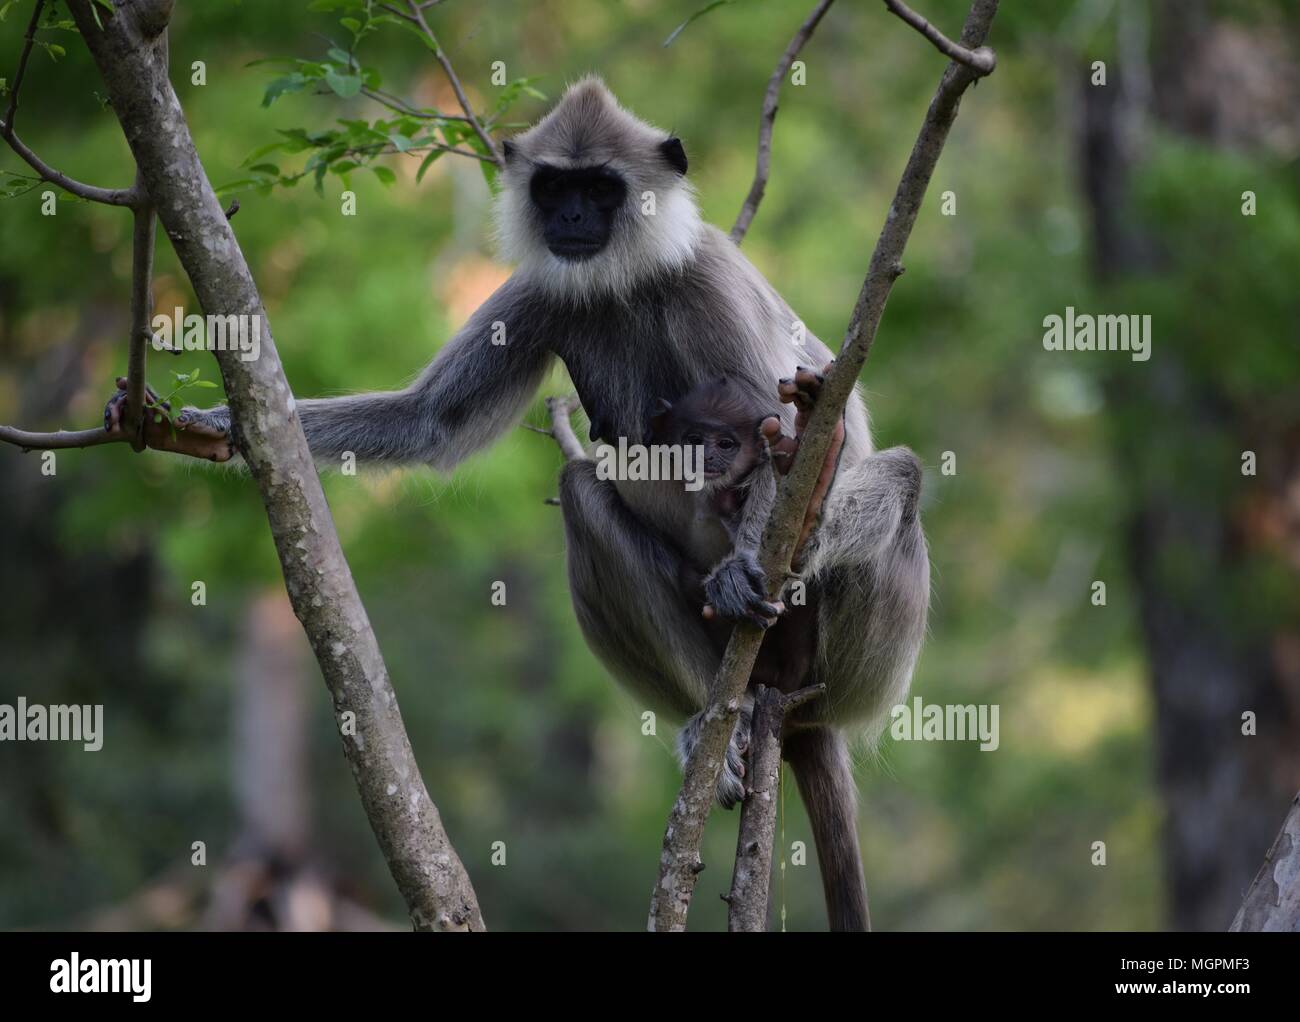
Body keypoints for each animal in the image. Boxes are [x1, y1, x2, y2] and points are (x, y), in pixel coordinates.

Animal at [105, 77, 929, 931]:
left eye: (601, 188)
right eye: (555, 189)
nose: (572, 220)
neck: (625, 279)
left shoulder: (710, 282)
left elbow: (802, 438)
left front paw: (747, 557)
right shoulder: (542, 290)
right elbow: (431, 423)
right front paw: (199, 426)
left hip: (848, 667)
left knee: (899, 474)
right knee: (582, 492)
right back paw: (710, 727)